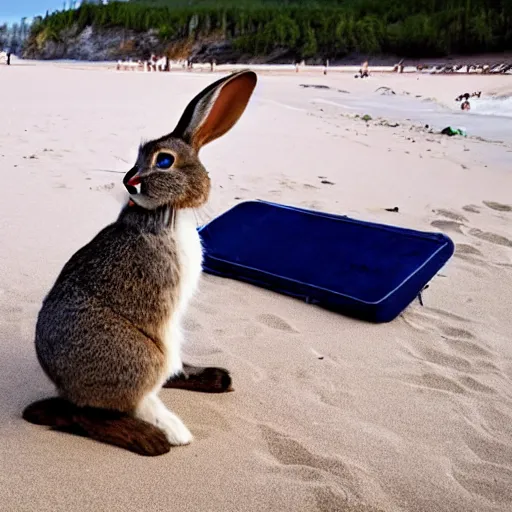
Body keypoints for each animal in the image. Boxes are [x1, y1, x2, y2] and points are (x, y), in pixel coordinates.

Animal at [22, 69, 258, 456]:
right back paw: (163, 435)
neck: (168, 211)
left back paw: (215, 380)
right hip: (143, 355)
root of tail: (64, 387)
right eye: (145, 159)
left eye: (163, 161)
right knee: (106, 409)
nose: (128, 181)